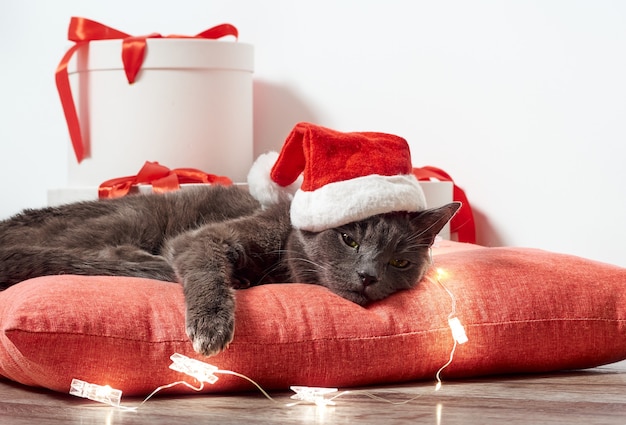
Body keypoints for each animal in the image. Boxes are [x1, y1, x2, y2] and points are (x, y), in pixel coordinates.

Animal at [0, 186, 458, 354]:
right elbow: (206, 269)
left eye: (399, 261)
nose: (367, 276)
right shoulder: (202, 239)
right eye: (350, 240)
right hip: (135, 217)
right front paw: (211, 326)